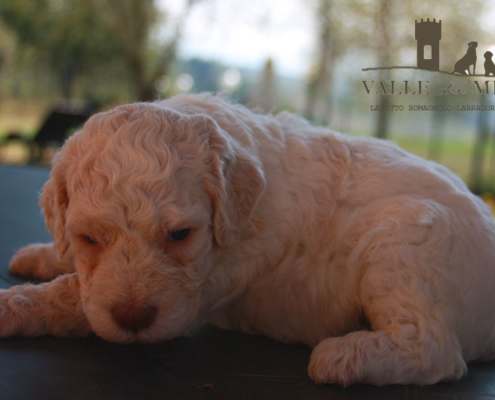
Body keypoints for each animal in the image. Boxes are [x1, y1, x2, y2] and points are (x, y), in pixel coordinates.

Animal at [5, 94, 495, 388]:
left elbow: (71, 297)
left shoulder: (210, 281)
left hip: (405, 243)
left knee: (435, 349)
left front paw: (9, 307)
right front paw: (40, 255)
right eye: (89, 238)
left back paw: (343, 355)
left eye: (180, 235)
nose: (133, 318)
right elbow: (78, 280)